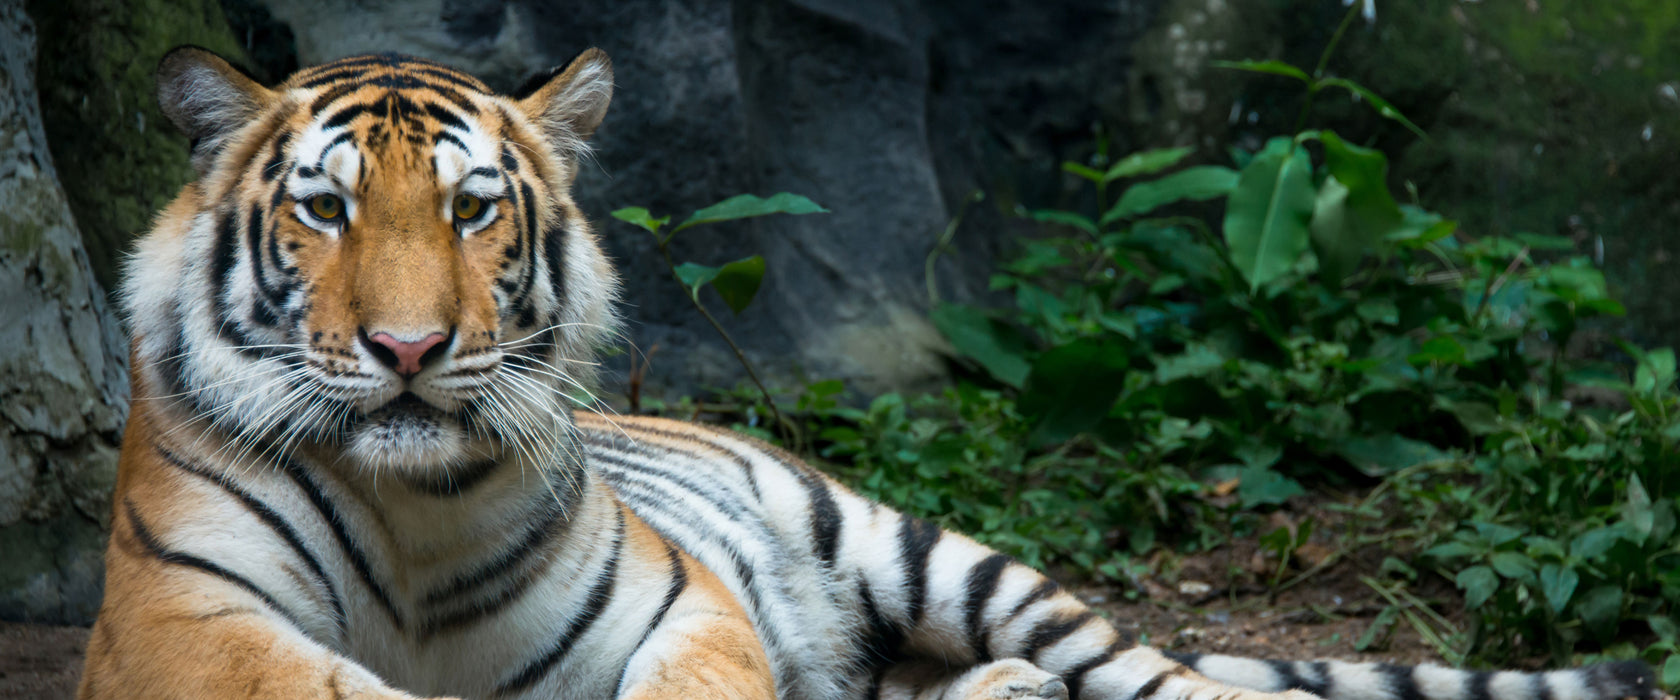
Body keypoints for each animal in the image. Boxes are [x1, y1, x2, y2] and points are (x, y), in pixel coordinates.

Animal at [75, 42, 1653, 698]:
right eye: (326, 208)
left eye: (470, 210)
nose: (411, 350)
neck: (411, 510)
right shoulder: (185, 631)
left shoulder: (678, 608)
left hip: (929, 553)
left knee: (1162, 678)